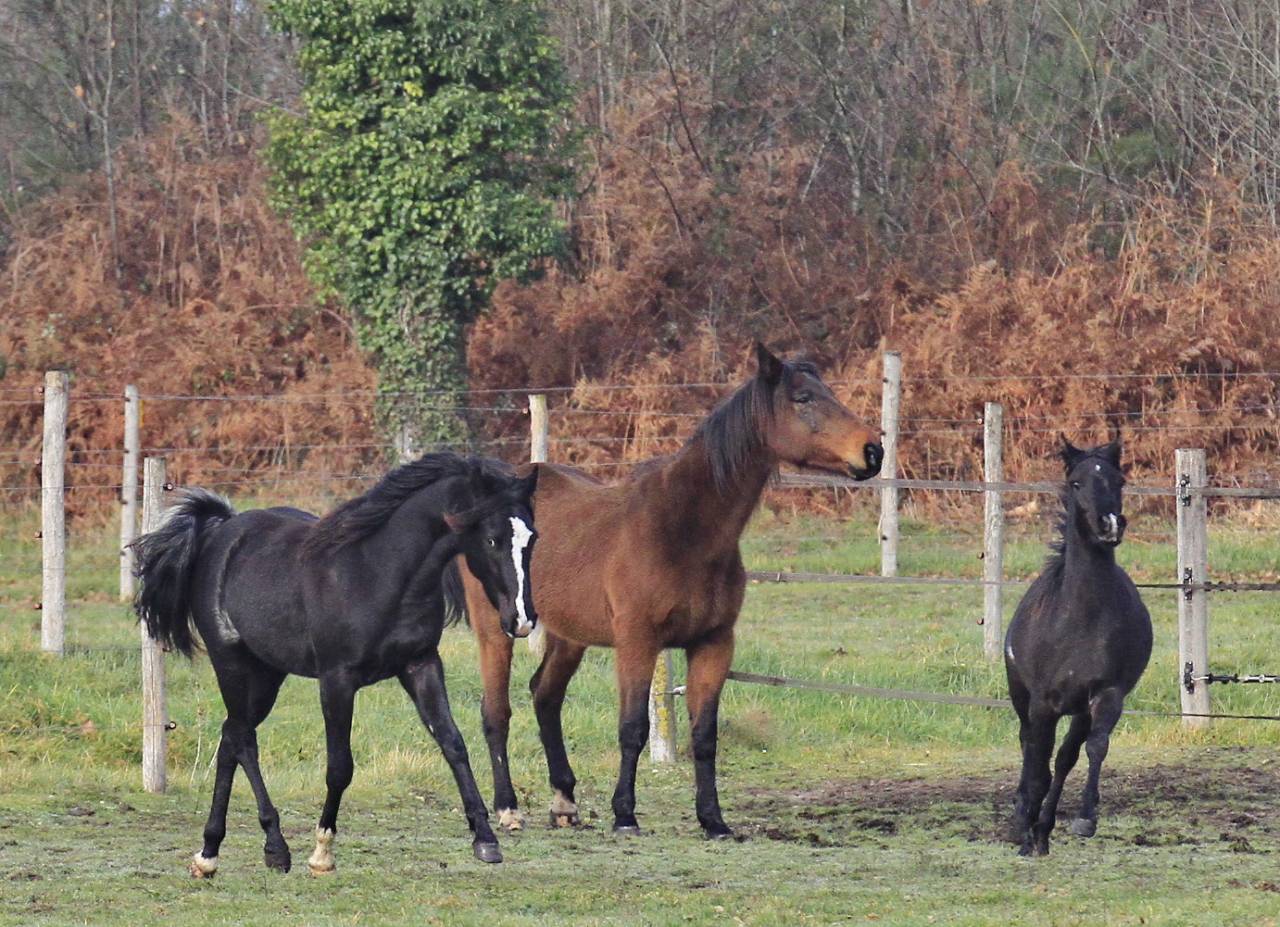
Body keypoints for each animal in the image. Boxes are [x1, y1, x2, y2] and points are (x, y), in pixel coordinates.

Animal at [132, 453, 539, 877]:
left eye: (532, 538)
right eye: (491, 538)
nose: (521, 620)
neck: (377, 572)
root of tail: (222, 530)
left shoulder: (421, 665)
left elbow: (453, 743)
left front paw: (486, 840)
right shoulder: (337, 679)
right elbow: (340, 766)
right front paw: (322, 851)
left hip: (267, 673)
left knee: (231, 737)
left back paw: (210, 853)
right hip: (232, 665)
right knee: (243, 739)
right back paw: (274, 847)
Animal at [444, 343, 883, 838]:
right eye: (803, 398)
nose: (873, 450)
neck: (681, 529)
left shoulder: (714, 644)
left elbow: (705, 735)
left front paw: (713, 820)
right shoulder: (638, 641)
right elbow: (633, 727)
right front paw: (625, 814)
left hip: (568, 635)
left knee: (545, 696)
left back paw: (564, 803)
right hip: (498, 627)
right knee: (495, 712)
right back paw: (508, 808)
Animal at [1004, 437, 1152, 857]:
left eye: (1119, 480)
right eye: (1075, 482)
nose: (1110, 524)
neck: (1080, 618)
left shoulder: (1105, 694)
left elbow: (1094, 748)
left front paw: (1084, 819)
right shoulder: (1042, 704)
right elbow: (1037, 765)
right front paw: (1024, 831)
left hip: (1077, 710)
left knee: (1065, 757)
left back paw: (1043, 828)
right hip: (1022, 698)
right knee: (1030, 749)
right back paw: (1025, 822)